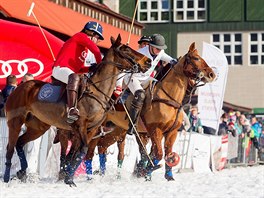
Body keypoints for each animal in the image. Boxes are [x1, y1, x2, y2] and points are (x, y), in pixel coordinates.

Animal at [3, 34, 151, 186]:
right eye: (126, 49)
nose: (148, 61)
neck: (98, 92)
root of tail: (20, 87)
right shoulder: (80, 125)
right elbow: (81, 151)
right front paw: (68, 178)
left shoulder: (92, 129)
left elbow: (77, 154)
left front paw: (68, 177)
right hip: (15, 122)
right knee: (10, 148)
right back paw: (7, 177)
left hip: (38, 127)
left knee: (20, 143)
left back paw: (22, 172)